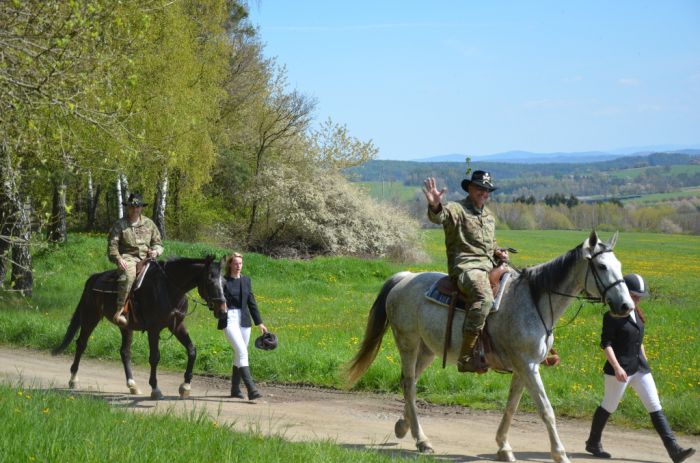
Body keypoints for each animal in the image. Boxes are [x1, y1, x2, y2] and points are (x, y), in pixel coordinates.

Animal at [52, 256, 227, 400]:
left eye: (224, 282)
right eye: (210, 281)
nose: (222, 310)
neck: (169, 289)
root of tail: (94, 278)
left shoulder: (177, 326)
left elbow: (192, 351)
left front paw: (185, 386)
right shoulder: (154, 329)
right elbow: (155, 357)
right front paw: (155, 389)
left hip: (125, 327)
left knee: (124, 352)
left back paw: (132, 385)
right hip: (90, 318)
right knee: (81, 344)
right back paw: (73, 380)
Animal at [346, 230, 636, 462]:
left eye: (619, 264)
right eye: (601, 266)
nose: (626, 306)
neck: (535, 301)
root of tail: (404, 278)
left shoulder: (523, 368)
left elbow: (511, 407)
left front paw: (504, 447)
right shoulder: (528, 366)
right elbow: (546, 410)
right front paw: (560, 453)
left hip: (427, 350)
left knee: (411, 383)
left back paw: (404, 426)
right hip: (408, 343)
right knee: (409, 383)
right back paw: (422, 440)